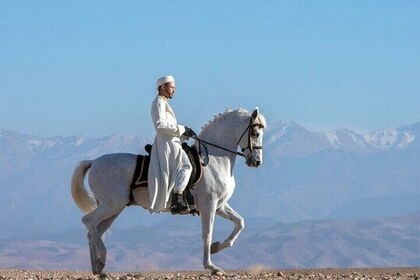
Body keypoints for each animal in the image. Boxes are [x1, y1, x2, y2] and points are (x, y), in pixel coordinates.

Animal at [70, 107, 264, 276]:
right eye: (255, 133)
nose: (256, 162)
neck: (213, 159)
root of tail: (94, 161)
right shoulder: (209, 204)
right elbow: (207, 234)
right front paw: (212, 267)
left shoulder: (219, 205)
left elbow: (239, 222)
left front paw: (217, 247)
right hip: (112, 205)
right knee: (88, 221)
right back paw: (101, 260)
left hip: (114, 209)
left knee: (93, 232)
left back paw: (98, 269)